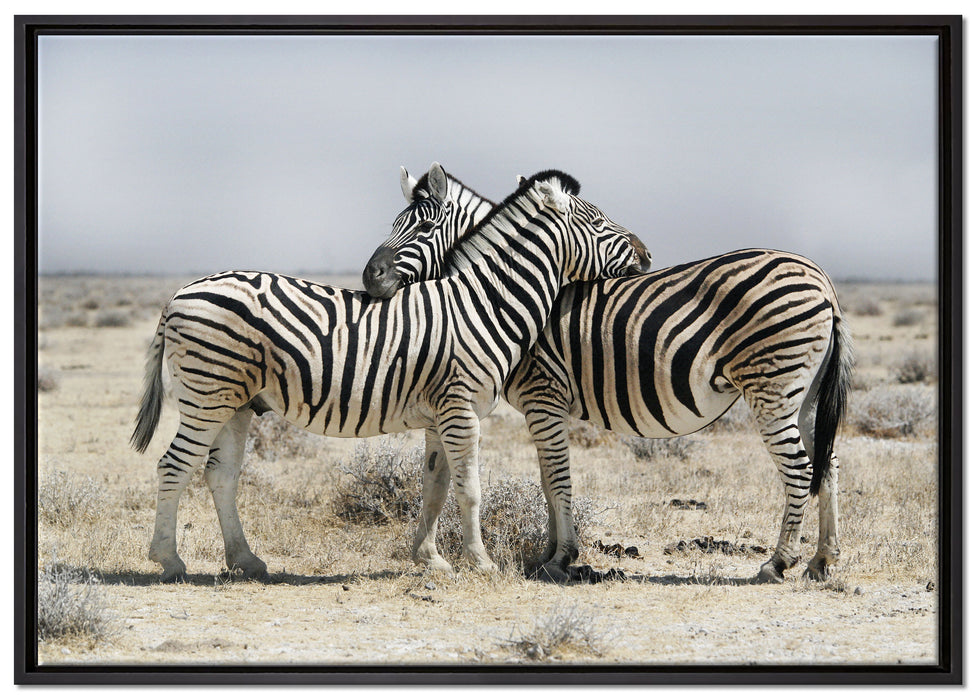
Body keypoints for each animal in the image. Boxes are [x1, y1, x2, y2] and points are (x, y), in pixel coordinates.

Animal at [130, 167, 652, 582]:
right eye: (600, 222)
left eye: (422, 225)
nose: (646, 255)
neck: (484, 303)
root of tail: (179, 293)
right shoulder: (461, 409)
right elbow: (471, 490)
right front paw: (481, 563)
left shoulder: (441, 415)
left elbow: (436, 488)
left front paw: (432, 559)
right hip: (207, 394)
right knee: (172, 466)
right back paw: (169, 561)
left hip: (235, 402)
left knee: (220, 475)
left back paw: (246, 560)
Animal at [361, 166, 854, 584]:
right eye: (394, 223)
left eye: (423, 229)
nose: (370, 277)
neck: (499, 293)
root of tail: (823, 279)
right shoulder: (543, 408)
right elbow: (547, 480)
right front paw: (549, 554)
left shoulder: (543, 395)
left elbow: (558, 478)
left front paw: (561, 558)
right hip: (804, 394)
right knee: (826, 463)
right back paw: (822, 559)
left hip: (771, 387)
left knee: (799, 469)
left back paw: (778, 562)